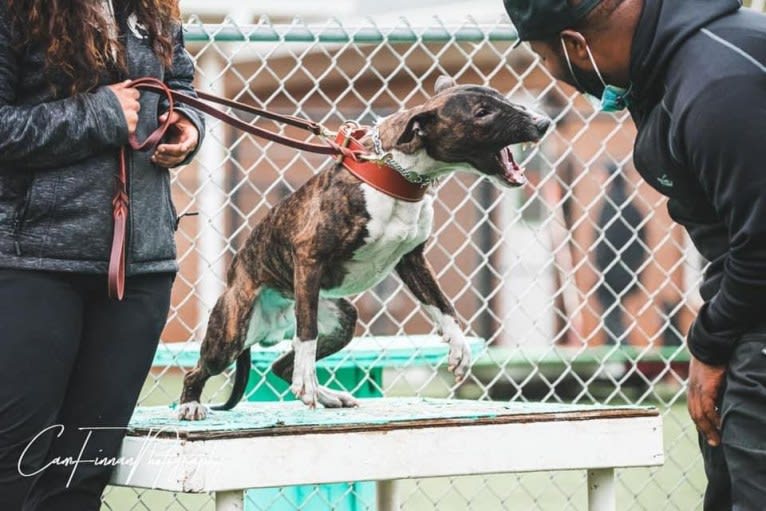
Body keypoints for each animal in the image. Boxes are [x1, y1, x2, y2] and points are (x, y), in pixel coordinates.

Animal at [178, 76, 552, 420]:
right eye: (482, 113)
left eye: (501, 98)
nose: (543, 123)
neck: (398, 176)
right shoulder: (308, 256)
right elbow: (306, 331)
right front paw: (306, 379)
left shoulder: (412, 260)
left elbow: (442, 304)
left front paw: (458, 347)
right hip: (229, 336)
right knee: (200, 370)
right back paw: (192, 404)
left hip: (342, 320)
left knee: (281, 364)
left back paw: (327, 395)